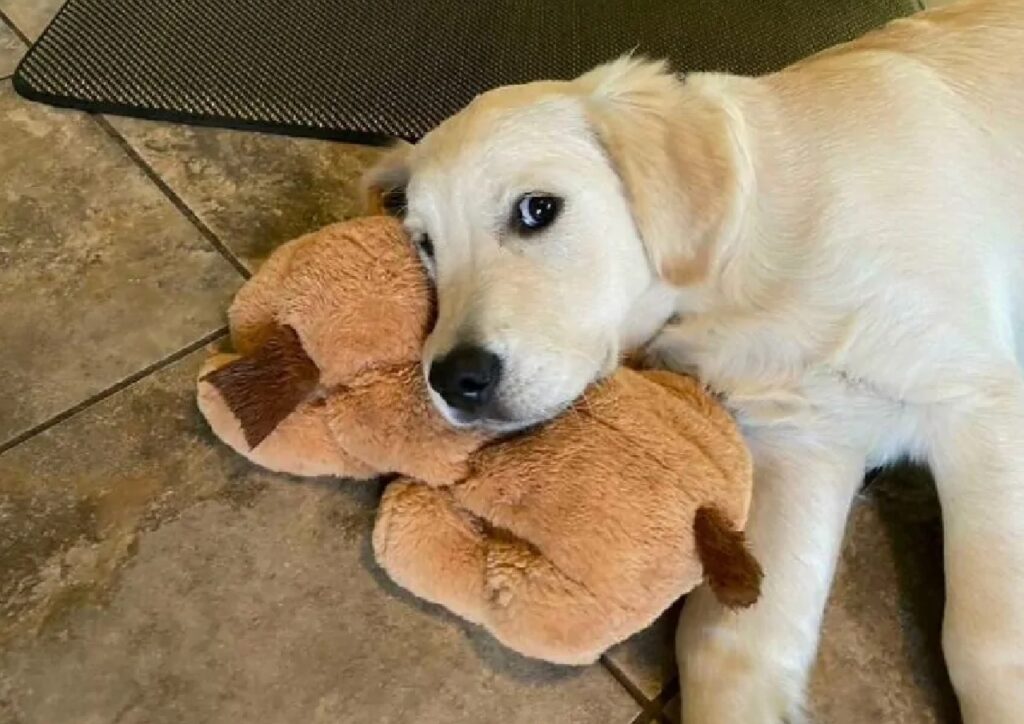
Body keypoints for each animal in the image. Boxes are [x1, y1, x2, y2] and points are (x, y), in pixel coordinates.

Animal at [366, 2, 1024, 720]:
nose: (454, 380)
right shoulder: (803, 442)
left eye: (538, 209)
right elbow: (726, 648)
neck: (742, 272)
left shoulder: (981, 405)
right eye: (426, 245)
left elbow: (987, 639)